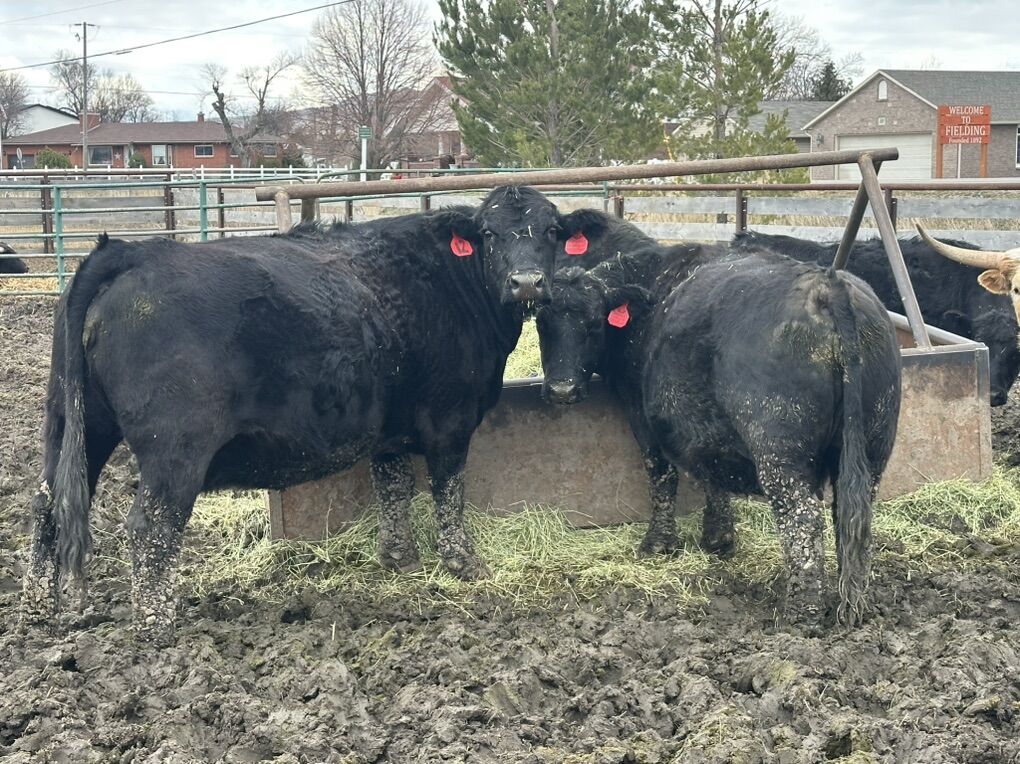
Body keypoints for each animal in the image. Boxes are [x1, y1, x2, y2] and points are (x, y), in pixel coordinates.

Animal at [22, 186, 558, 645]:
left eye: (552, 231)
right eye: (489, 234)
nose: (527, 282)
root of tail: (130, 253)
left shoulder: (390, 430)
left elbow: (394, 489)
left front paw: (399, 559)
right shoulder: (451, 417)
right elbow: (449, 493)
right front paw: (464, 564)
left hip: (73, 424)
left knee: (46, 505)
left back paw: (37, 612)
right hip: (174, 448)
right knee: (151, 526)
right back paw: (156, 628)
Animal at [536, 244, 902, 626]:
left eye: (594, 323)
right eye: (541, 322)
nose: (562, 389)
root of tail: (827, 284)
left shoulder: (643, 417)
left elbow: (663, 476)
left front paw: (659, 543)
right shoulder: (708, 430)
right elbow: (712, 474)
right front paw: (718, 537)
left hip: (780, 455)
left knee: (803, 520)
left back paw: (801, 612)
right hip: (872, 447)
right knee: (853, 517)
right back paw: (853, 601)